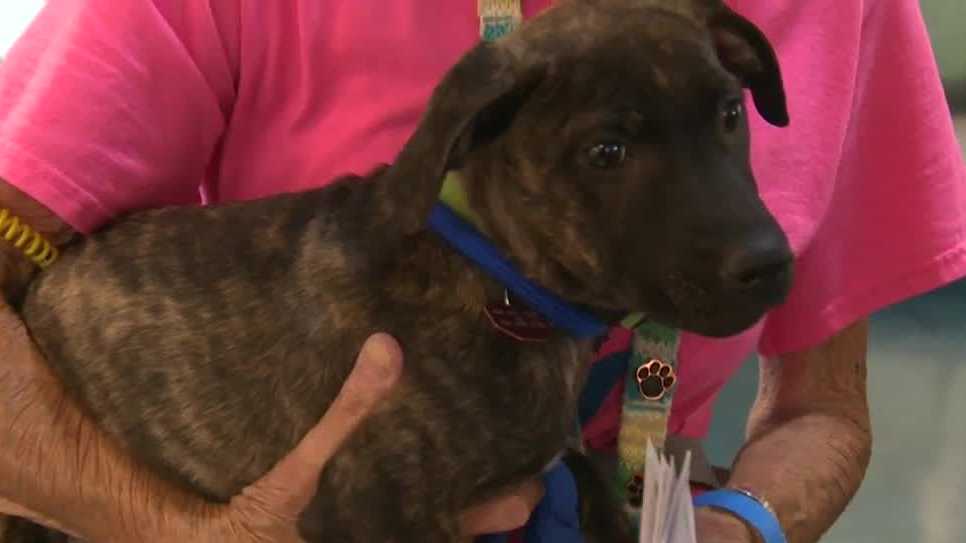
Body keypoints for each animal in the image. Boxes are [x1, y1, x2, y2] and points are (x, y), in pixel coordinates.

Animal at [3, 1, 792, 543]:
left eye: (730, 113)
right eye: (607, 152)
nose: (769, 263)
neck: (498, 281)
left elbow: (594, 485)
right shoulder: (366, 510)